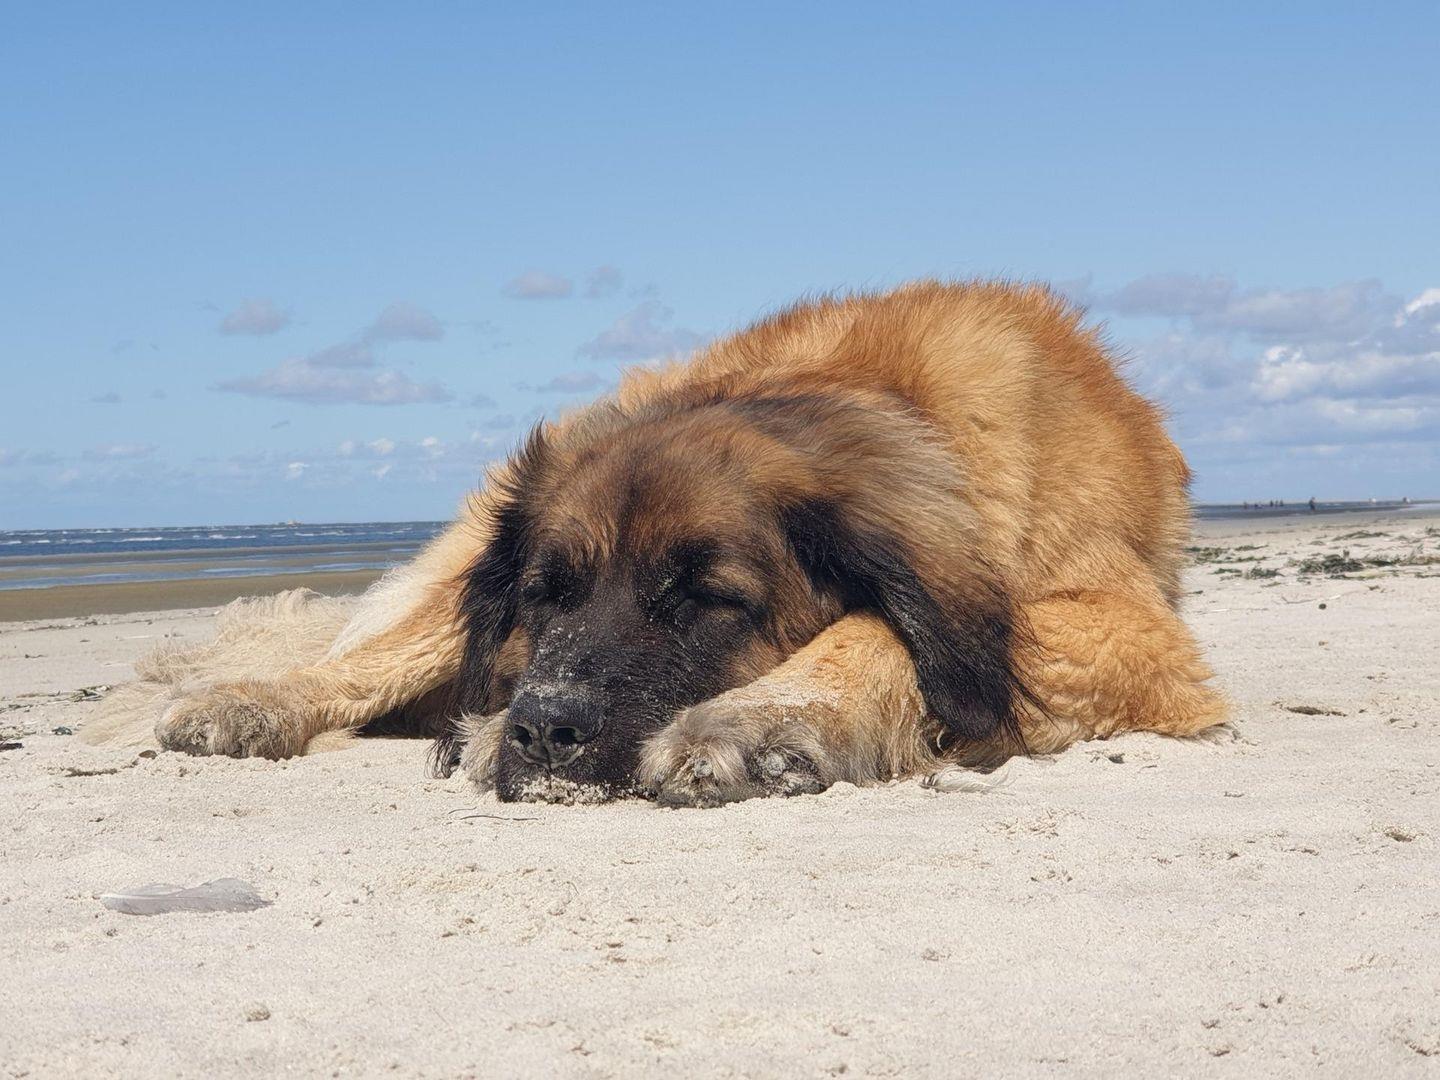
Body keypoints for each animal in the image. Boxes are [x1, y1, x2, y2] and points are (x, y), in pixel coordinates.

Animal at [155, 280, 1227, 804]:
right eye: (546, 595)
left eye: (705, 599)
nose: (544, 731)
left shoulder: (1120, 623)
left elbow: (879, 627)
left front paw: (760, 721)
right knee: (364, 659)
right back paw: (244, 703)